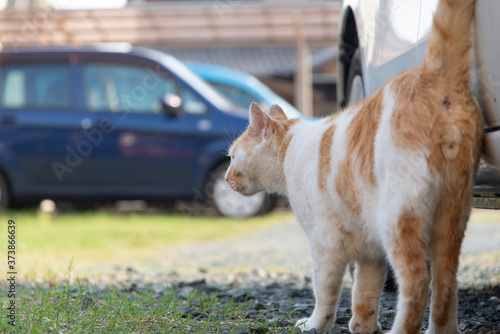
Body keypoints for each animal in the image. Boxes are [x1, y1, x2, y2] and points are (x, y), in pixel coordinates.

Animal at [225, 0, 482, 334]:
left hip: (400, 218)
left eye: (232, 157)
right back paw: (440, 330)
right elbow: (365, 292)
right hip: (451, 219)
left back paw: (400, 329)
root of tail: (432, 75)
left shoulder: (324, 245)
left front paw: (314, 324)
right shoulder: (369, 251)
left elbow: (325, 292)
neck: (291, 148)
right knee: (446, 284)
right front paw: (363, 327)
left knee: (417, 282)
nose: (226, 177)